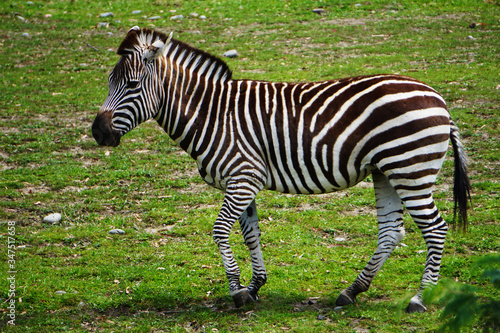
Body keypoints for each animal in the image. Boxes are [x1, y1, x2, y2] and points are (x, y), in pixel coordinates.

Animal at [92, 27, 470, 312]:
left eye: (132, 86)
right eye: (109, 82)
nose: (98, 132)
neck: (211, 114)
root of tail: (439, 99)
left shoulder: (242, 177)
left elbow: (219, 231)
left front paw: (237, 291)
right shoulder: (244, 180)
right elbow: (251, 234)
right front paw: (255, 286)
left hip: (409, 169)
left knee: (434, 229)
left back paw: (420, 298)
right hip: (386, 171)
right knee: (392, 231)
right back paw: (351, 291)